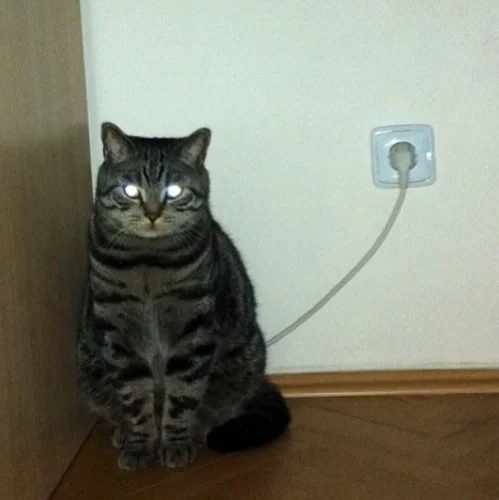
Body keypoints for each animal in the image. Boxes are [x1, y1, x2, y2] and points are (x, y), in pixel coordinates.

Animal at [77, 122, 291, 470]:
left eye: (174, 191)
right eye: (131, 190)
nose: (152, 213)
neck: (148, 262)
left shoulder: (193, 333)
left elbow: (183, 395)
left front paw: (175, 444)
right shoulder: (119, 336)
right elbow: (134, 398)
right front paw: (140, 445)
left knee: (215, 409)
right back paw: (122, 431)